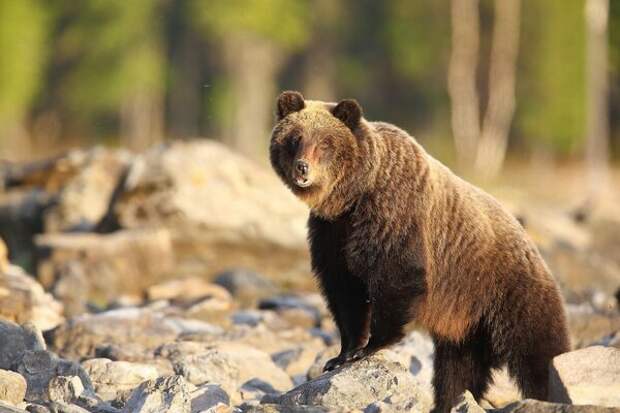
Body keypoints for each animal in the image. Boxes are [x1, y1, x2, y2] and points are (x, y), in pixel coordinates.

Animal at [268, 91, 568, 412]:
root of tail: (533, 247)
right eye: (295, 138)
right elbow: (344, 290)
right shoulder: (332, 232)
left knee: (537, 352)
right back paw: (450, 401)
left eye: (325, 142)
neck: (354, 196)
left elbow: (395, 276)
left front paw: (369, 347)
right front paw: (340, 355)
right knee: (457, 369)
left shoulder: (393, 216)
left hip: (510, 292)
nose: (302, 168)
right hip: (466, 321)